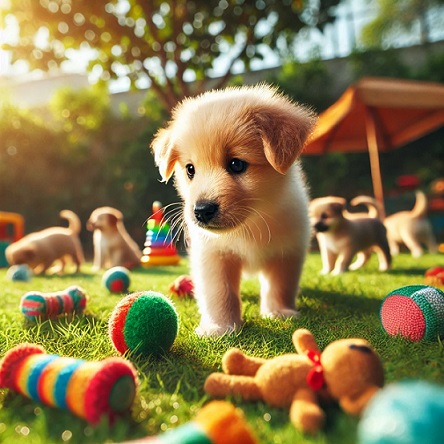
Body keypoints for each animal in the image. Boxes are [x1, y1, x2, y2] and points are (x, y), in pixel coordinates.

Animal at [151, 84, 318, 336]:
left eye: (236, 164)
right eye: (190, 169)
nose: (202, 210)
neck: (251, 224)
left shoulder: (287, 251)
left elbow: (280, 285)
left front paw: (279, 312)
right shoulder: (214, 254)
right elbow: (220, 292)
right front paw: (219, 327)